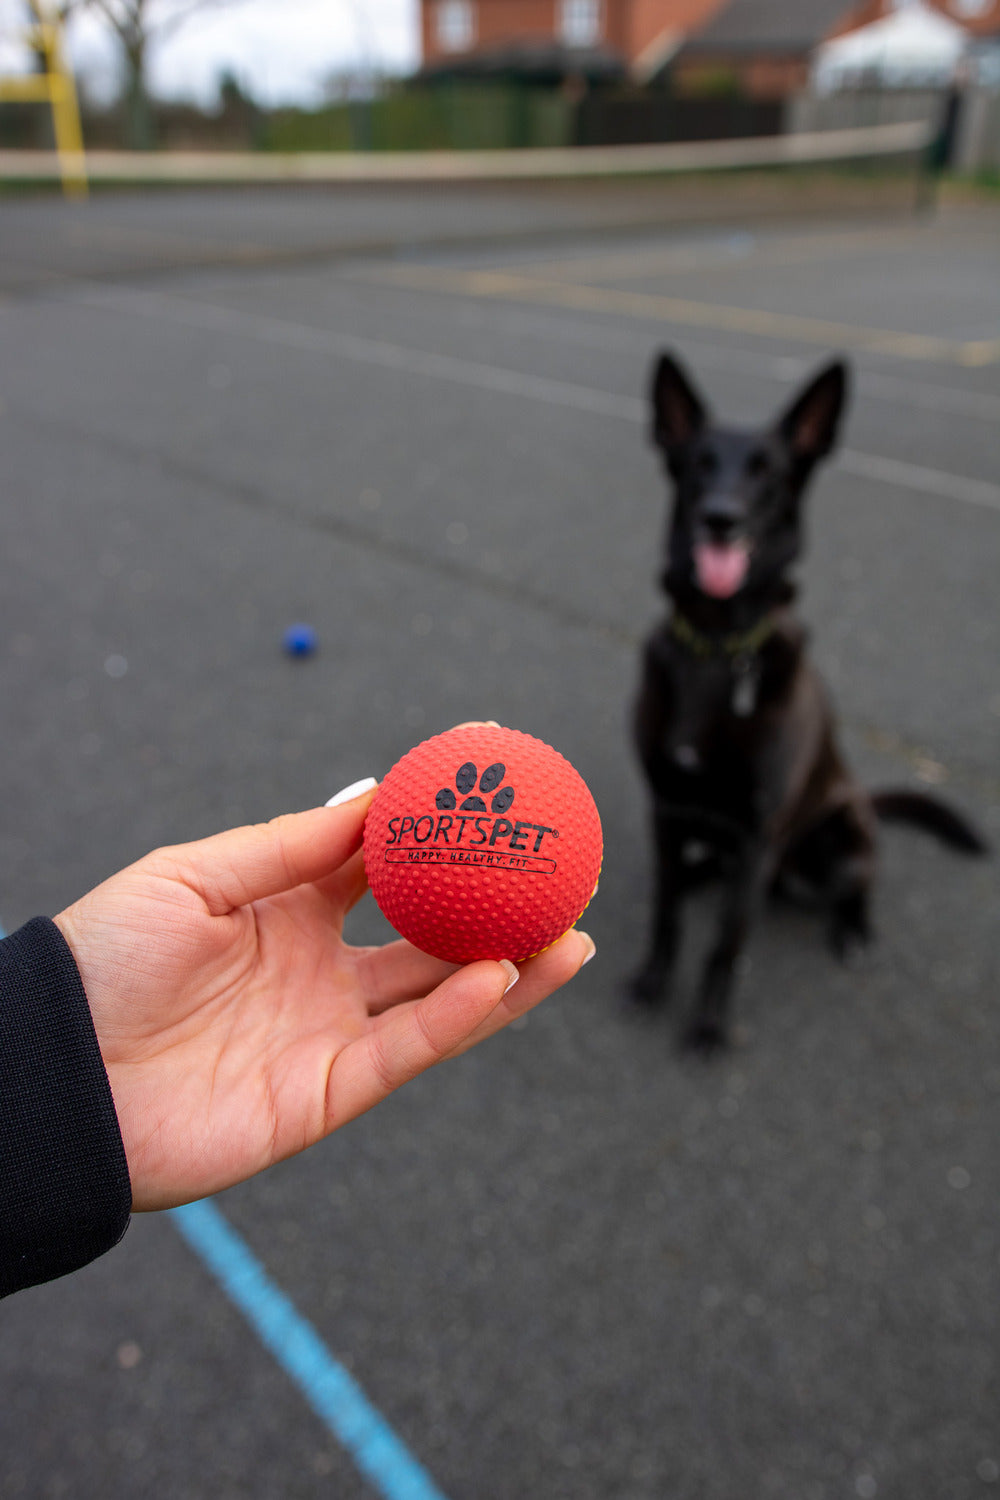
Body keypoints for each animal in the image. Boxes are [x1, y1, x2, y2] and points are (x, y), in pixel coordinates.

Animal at [632, 351, 983, 1056]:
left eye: (768, 472)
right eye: (699, 462)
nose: (720, 517)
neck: (717, 644)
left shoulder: (757, 831)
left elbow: (726, 942)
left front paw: (710, 1024)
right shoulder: (666, 808)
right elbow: (666, 910)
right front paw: (654, 979)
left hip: (843, 841)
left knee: (854, 888)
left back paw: (854, 932)